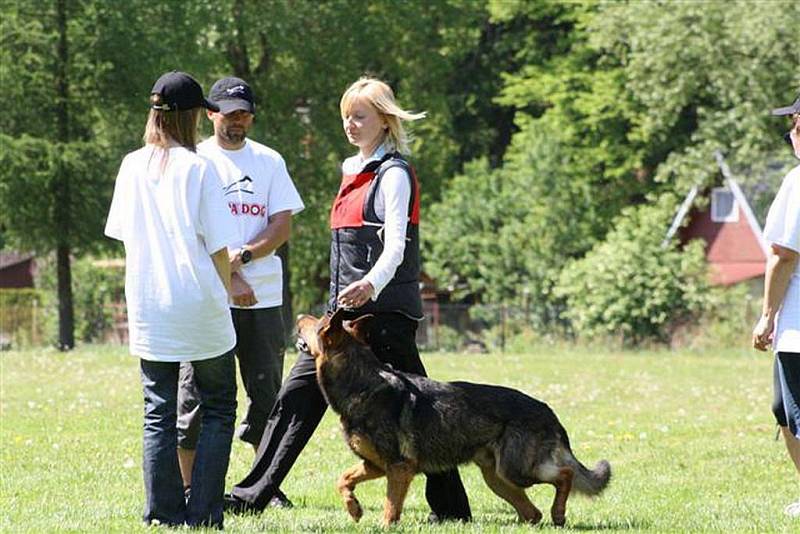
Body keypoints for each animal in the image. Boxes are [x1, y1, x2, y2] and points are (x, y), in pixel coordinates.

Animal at [296, 310, 608, 528]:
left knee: (564, 476)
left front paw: (382, 524)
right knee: (533, 512)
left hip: (516, 470)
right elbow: (343, 479)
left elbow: (390, 507)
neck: (361, 382)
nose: (298, 317)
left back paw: (559, 514)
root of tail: (548, 411)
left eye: (318, 321)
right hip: (498, 477)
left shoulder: (398, 468)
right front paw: (354, 508)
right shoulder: (375, 464)